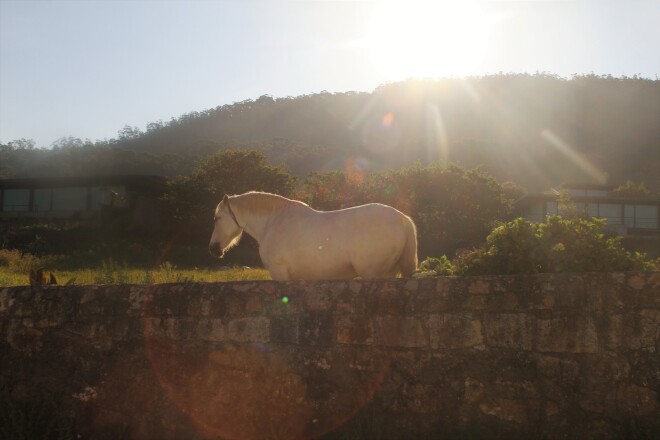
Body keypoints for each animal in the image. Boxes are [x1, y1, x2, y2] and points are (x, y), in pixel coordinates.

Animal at [210, 191, 418, 280]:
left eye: (217, 218)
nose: (213, 248)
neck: (273, 221)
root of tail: (403, 219)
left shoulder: (279, 273)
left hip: (372, 274)